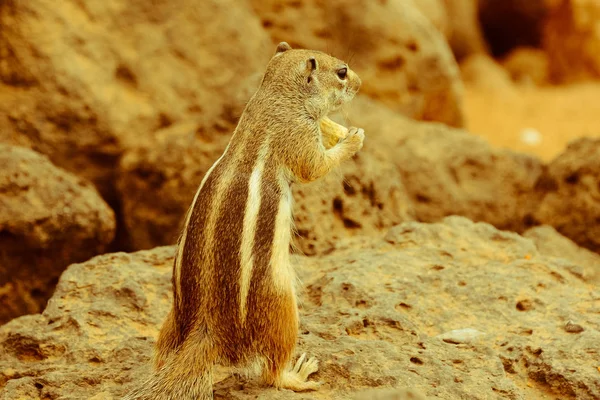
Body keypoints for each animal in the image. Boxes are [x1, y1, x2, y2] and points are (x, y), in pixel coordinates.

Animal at [124, 42, 364, 398]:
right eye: (342, 72)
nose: (360, 84)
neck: (274, 96)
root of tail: (207, 332)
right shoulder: (299, 137)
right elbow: (315, 167)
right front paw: (353, 138)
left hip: (171, 322)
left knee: (163, 354)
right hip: (281, 308)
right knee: (271, 371)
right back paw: (298, 375)